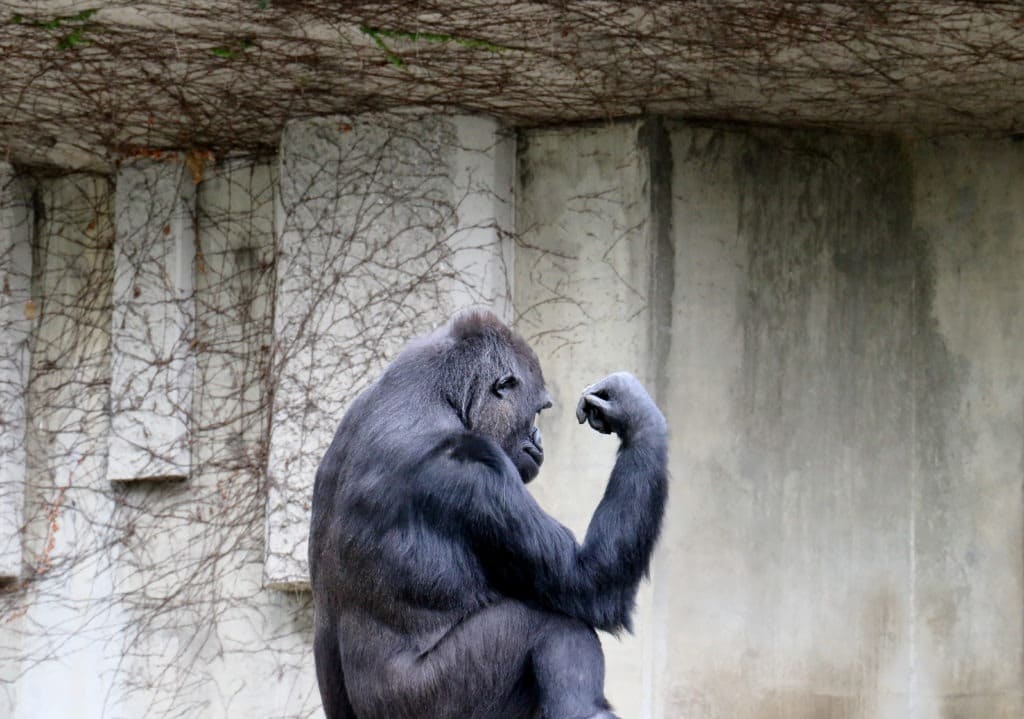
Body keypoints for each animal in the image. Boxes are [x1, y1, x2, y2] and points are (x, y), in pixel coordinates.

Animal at [307, 311, 667, 719]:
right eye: (538, 411)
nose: (539, 439)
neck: (430, 395)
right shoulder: (478, 468)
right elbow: (592, 583)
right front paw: (636, 412)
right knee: (547, 621)